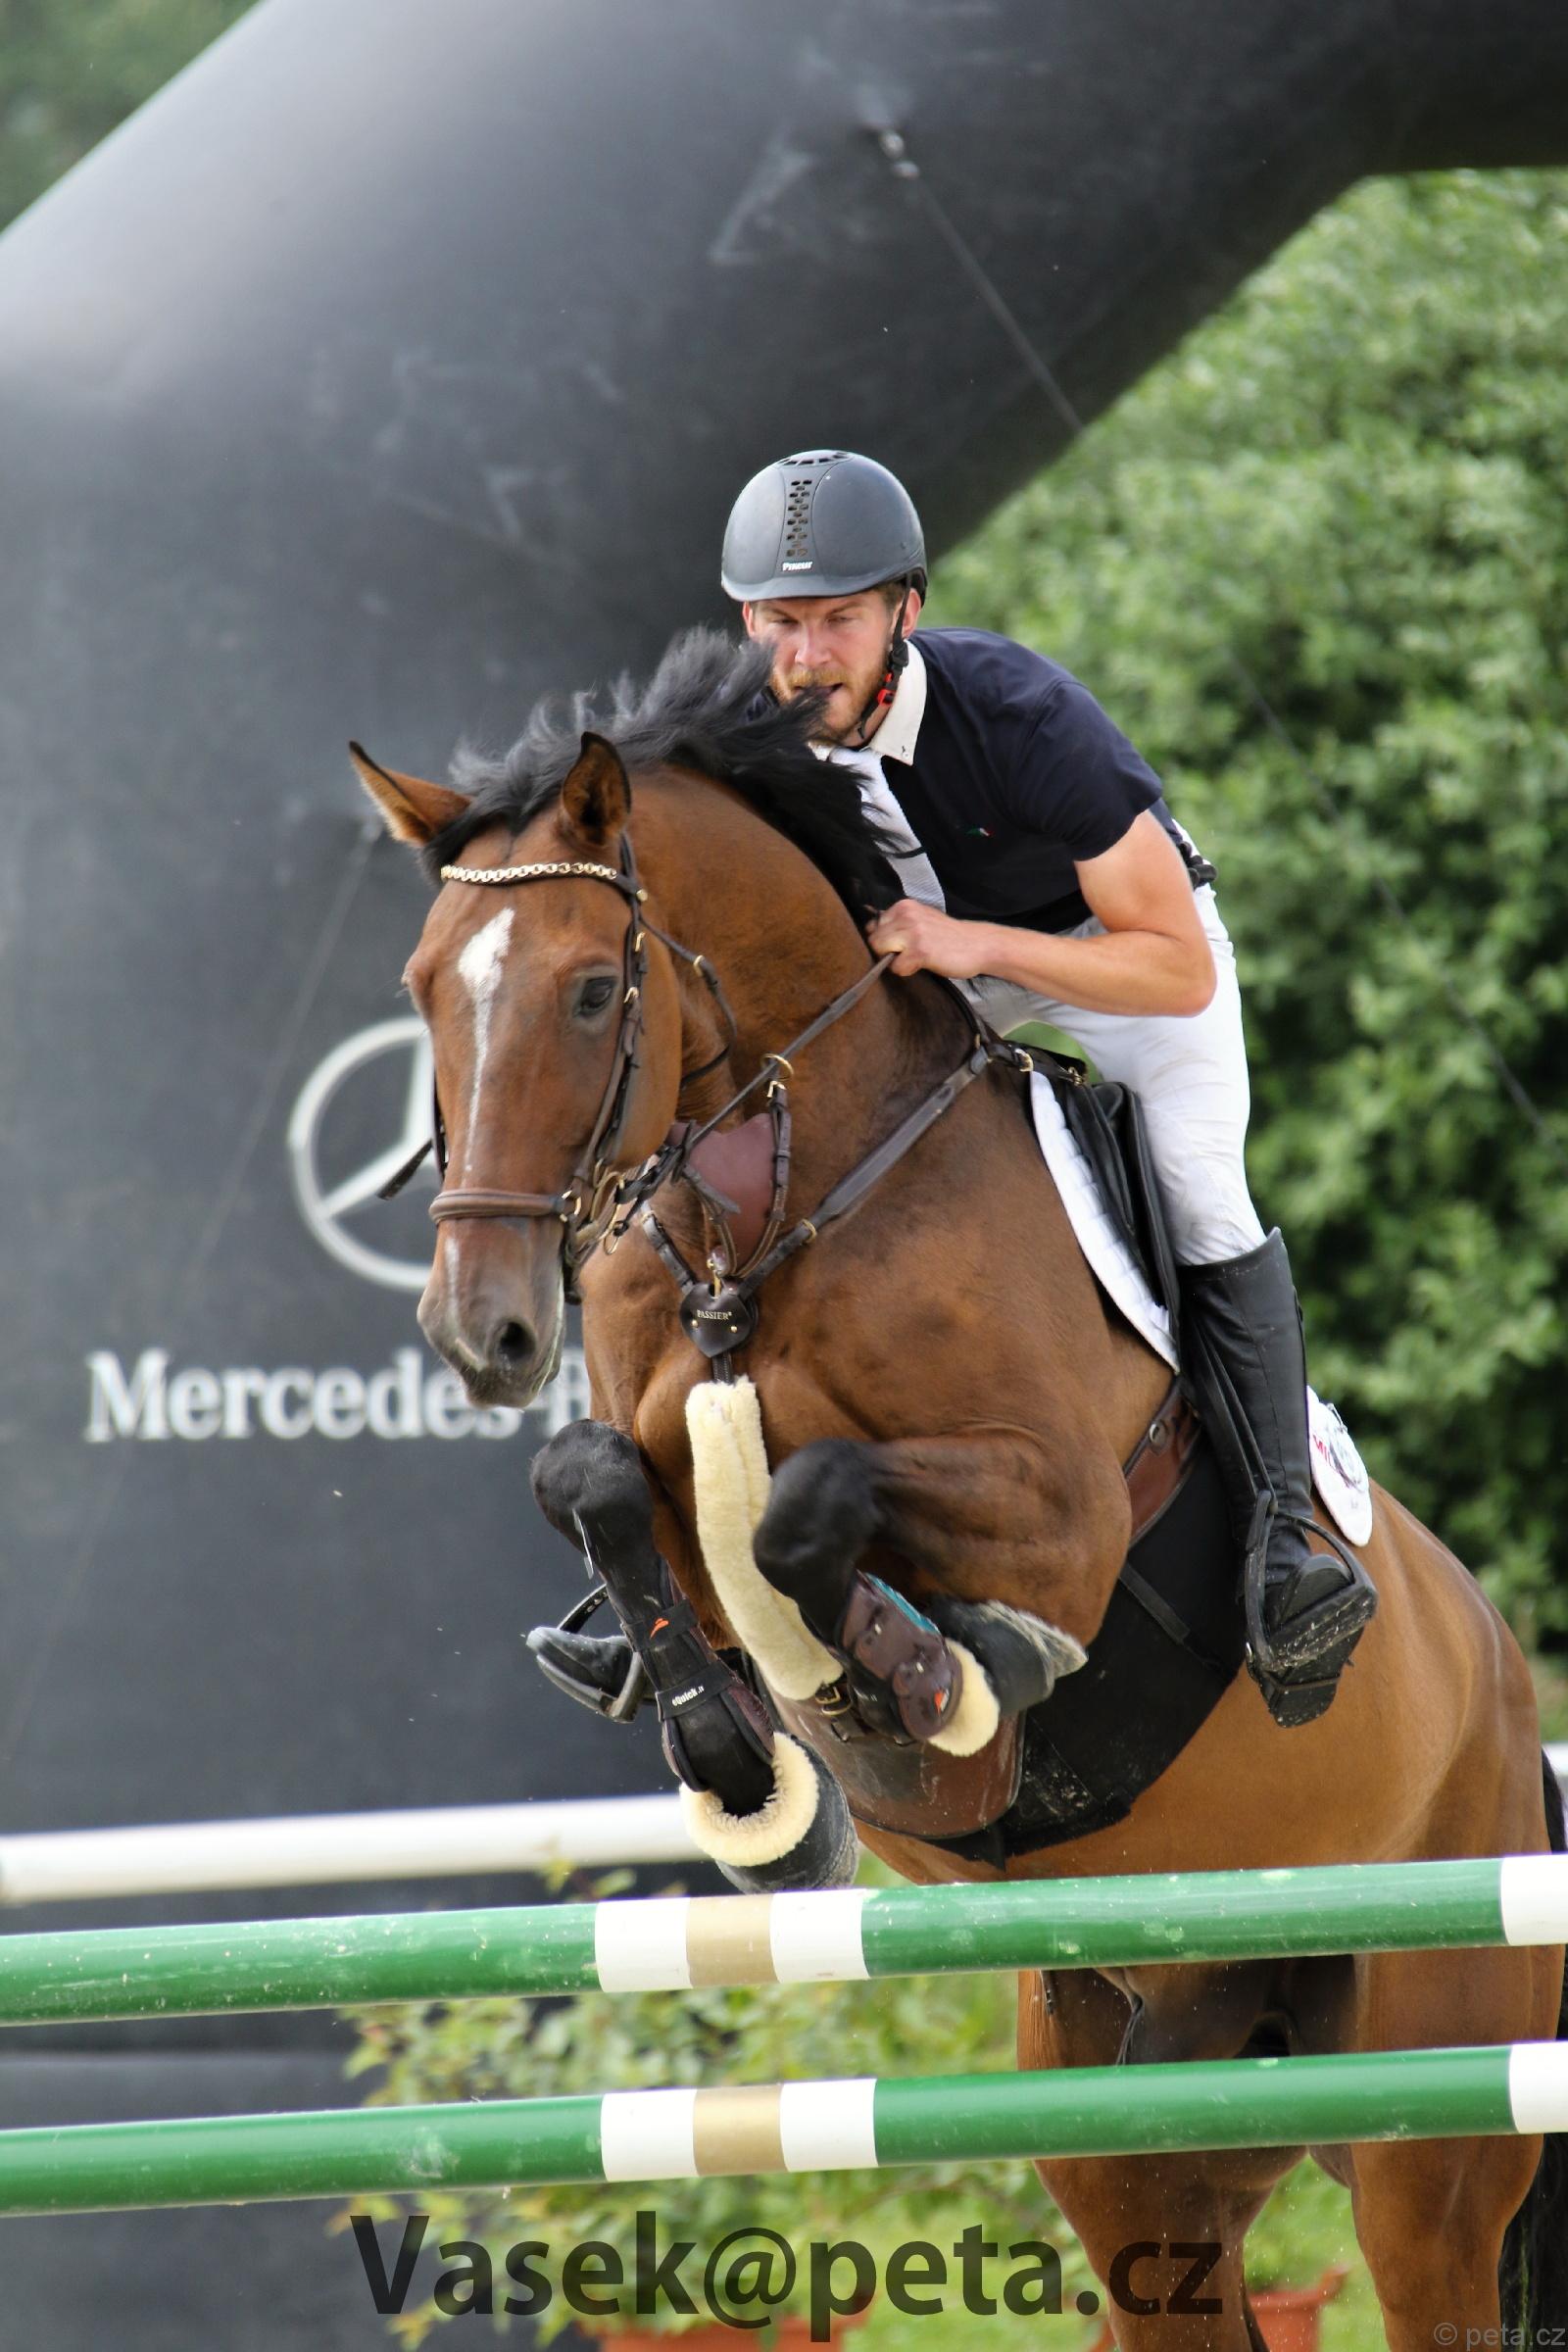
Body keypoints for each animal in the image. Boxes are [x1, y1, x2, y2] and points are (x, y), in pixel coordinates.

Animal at [352, 629, 1566, 2347]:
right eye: (420, 993)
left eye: (592, 989)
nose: (486, 1331)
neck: (769, 1205)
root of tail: (1512, 1696)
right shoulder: (643, 1456)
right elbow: (603, 1489)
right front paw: (756, 1781)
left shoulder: (1058, 1506)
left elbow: (814, 1509)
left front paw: (935, 1683)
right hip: (1141, 2108)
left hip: (1431, 2127)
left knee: (1428, 2246)